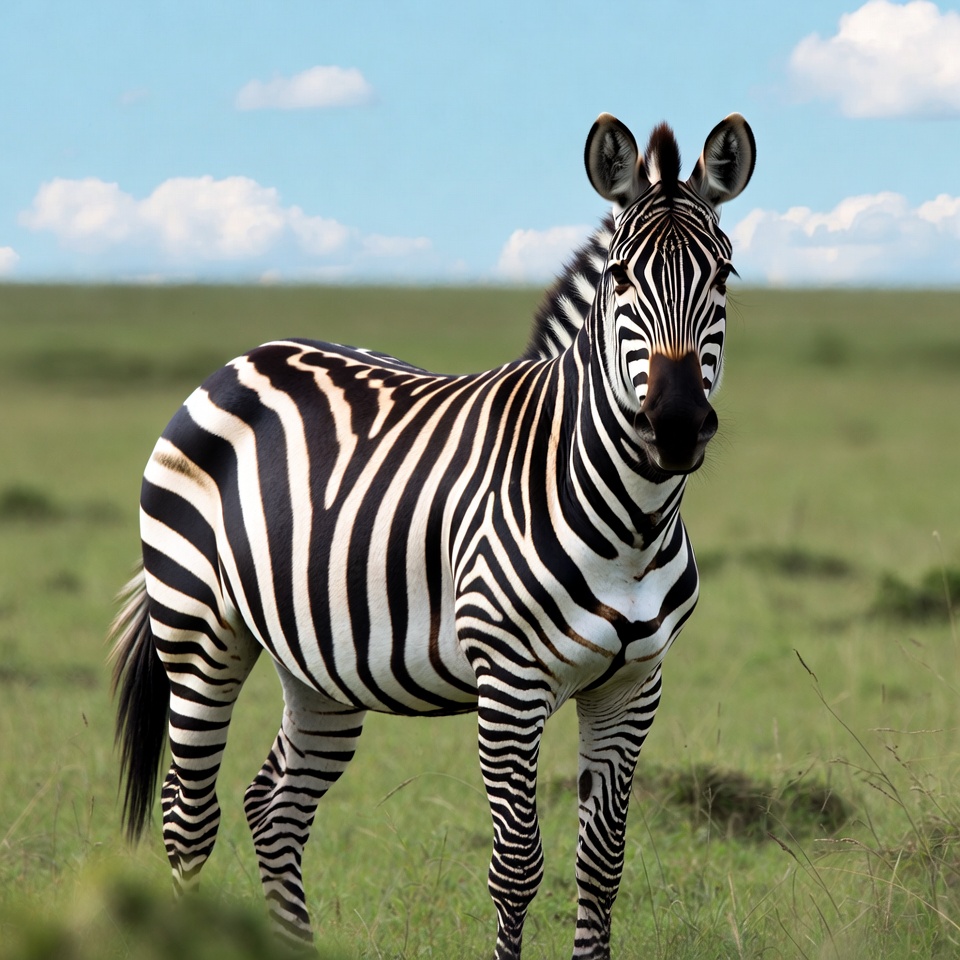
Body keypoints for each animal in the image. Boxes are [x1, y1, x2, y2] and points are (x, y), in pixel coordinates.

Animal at [111, 112, 755, 960]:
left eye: (725, 276)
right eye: (620, 277)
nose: (676, 425)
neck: (633, 520)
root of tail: (244, 359)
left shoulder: (633, 686)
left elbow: (603, 866)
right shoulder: (510, 683)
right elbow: (517, 866)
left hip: (316, 663)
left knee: (272, 808)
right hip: (198, 629)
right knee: (190, 819)